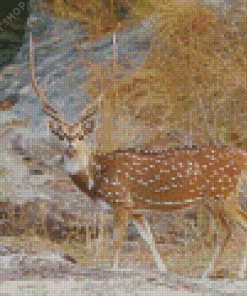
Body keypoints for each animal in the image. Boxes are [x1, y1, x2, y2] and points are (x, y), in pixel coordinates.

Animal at [29, 34, 247, 278]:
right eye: (62, 136)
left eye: (81, 135)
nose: (71, 148)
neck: (97, 179)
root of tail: (243, 156)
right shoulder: (137, 210)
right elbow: (150, 240)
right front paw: (163, 270)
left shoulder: (121, 202)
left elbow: (116, 243)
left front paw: (113, 270)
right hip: (213, 199)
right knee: (227, 231)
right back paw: (208, 274)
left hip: (223, 194)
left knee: (237, 226)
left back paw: (232, 274)